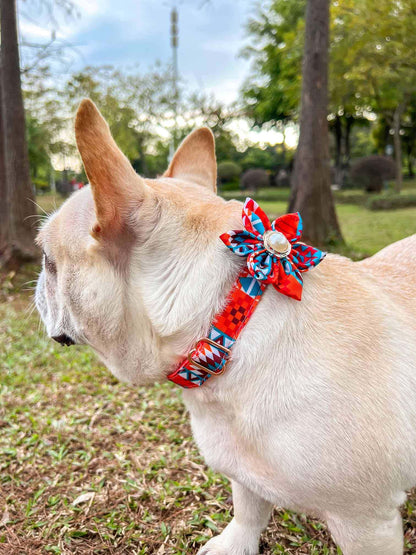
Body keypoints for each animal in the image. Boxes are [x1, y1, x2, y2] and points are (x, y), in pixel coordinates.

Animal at [36, 101, 416, 555]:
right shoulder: (242, 466)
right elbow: (248, 505)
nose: (37, 286)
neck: (230, 328)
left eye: (47, 260)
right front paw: (236, 542)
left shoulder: (366, 520)